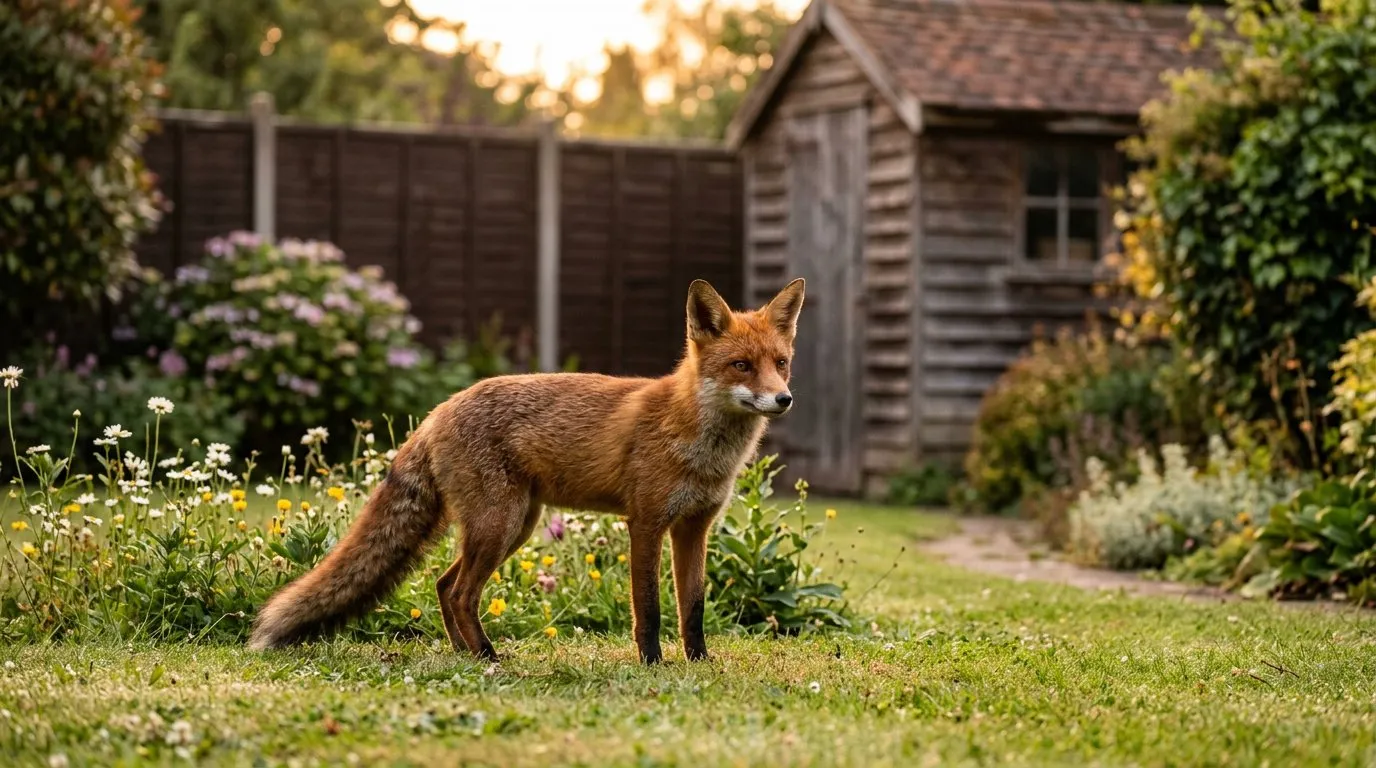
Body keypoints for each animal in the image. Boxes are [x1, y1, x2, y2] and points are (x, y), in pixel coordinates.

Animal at [248, 277, 806, 664]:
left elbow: (692, 606)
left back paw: (466, 654)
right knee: (460, 591)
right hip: (500, 524)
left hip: (514, 526)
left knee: (444, 586)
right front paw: (654, 665)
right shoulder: (646, 523)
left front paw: (699, 662)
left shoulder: (694, 527)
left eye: (780, 363)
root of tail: (437, 409)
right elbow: (648, 608)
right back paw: (487, 656)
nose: (784, 399)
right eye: (740, 366)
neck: (700, 444)